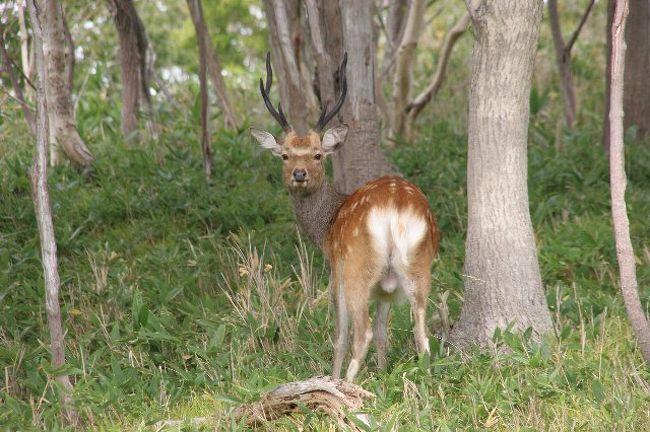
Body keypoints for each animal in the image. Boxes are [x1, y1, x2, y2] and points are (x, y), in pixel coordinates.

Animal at [251, 52, 438, 380]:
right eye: (285, 155)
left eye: (317, 154)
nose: (299, 174)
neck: (325, 227)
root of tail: (395, 208)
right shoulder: (385, 288)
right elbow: (383, 330)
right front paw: (382, 372)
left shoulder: (334, 269)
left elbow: (340, 333)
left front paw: (334, 374)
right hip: (417, 265)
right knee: (420, 331)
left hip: (356, 267)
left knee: (360, 331)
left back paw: (344, 385)